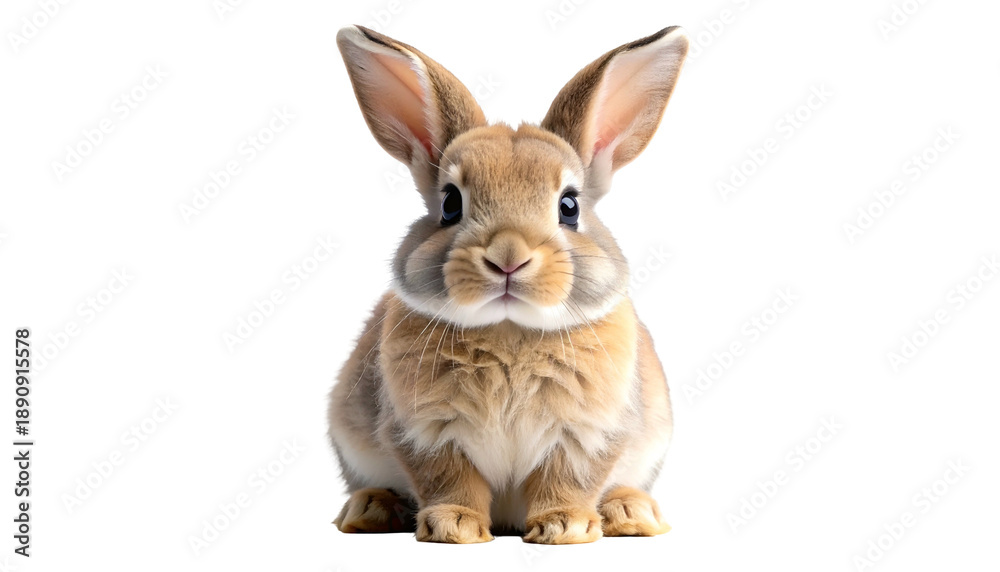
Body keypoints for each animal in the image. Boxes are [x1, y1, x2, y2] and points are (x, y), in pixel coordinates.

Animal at [329, 24, 688, 544]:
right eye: (450, 203)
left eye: (569, 206)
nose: (508, 258)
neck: (509, 329)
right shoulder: (425, 434)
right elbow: (450, 479)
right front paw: (454, 527)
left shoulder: (588, 436)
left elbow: (568, 478)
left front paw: (565, 526)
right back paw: (371, 510)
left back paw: (631, 513)